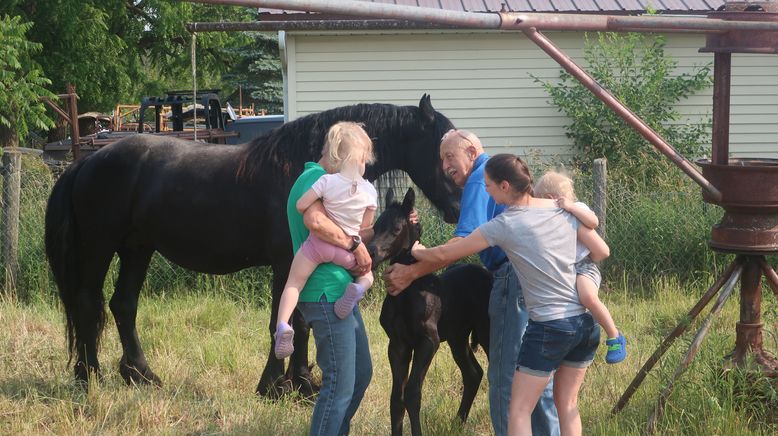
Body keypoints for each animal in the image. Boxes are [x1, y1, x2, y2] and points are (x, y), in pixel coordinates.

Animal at [45, 95, 458, 396]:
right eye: (444, 151)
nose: (457, 208)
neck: (300, 168)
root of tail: (86, 162)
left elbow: (302, 321)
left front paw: (300, 383)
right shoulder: (286, 264)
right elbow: (287, 320)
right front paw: (277, 385)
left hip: (137, 249)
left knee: (123, 305)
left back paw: (141, 375)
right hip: (100, 247)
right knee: (88, 303)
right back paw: (90, 377)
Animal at [366, 188, 488, 436]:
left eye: (396, 228)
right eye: (375, 226)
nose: (371, 253)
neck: (407, 291)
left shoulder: (428, 341)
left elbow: (412, 393)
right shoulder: (398, 344)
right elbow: (396, 397)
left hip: (486, 331)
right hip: (458, 338)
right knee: (473, 373)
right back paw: (457, 423)